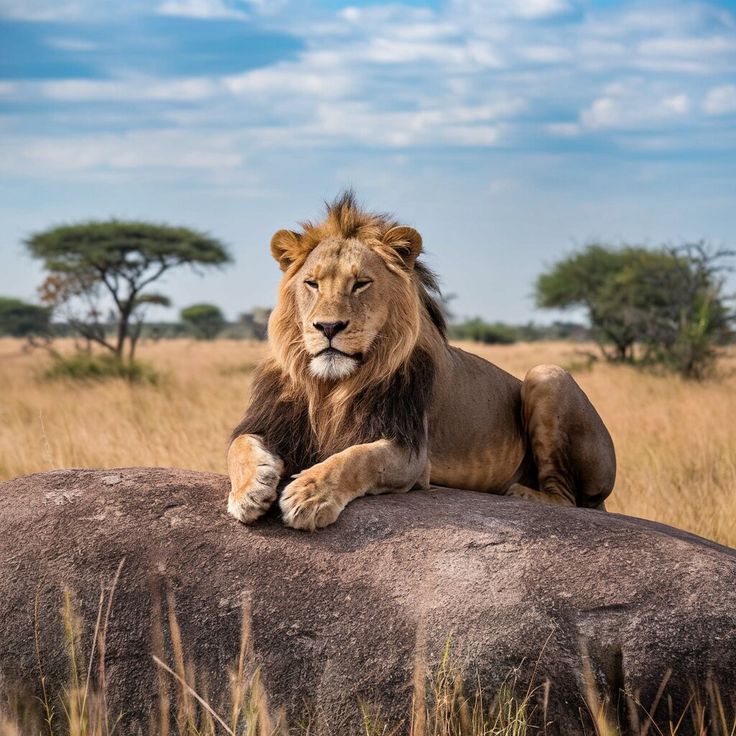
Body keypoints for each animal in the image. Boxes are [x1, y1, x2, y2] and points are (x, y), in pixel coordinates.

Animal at [227, 192, 616, 531]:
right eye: (312, 283)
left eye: (361, 284)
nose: (328, 327)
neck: (330, 386)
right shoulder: (275, 423)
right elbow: (239, 445)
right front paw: (249, 491)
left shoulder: (411, 452)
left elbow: (356, 458)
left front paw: (309, 495)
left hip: (547, 375)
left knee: (569, 499)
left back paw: (520, 494)